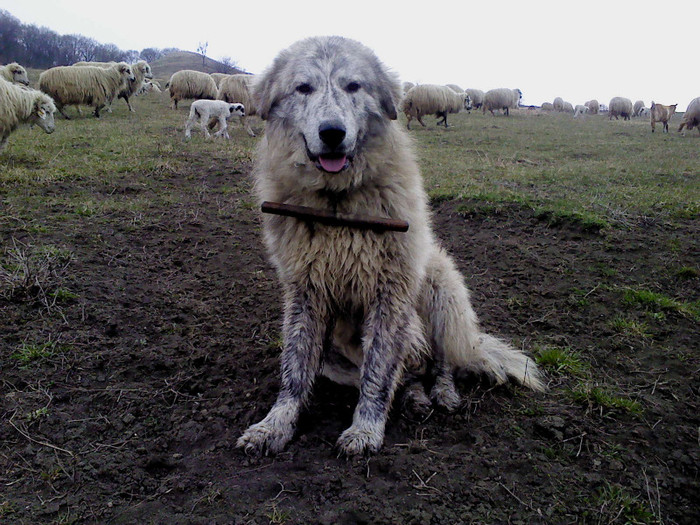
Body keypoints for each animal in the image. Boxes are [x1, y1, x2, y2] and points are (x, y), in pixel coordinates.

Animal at [238, 35, 544, 454]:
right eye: (303, 88)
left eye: (354, 86)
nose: (332, 133)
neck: (338, 206)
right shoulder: (305, 290)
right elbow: (296, 369)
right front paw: (277, 423)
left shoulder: (391, 291)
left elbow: (379, 371)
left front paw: (366, 429)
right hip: (339, 349)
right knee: (409, 371)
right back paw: (414, 398)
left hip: (440, 291)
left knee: (440, 360)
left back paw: (442, 393)